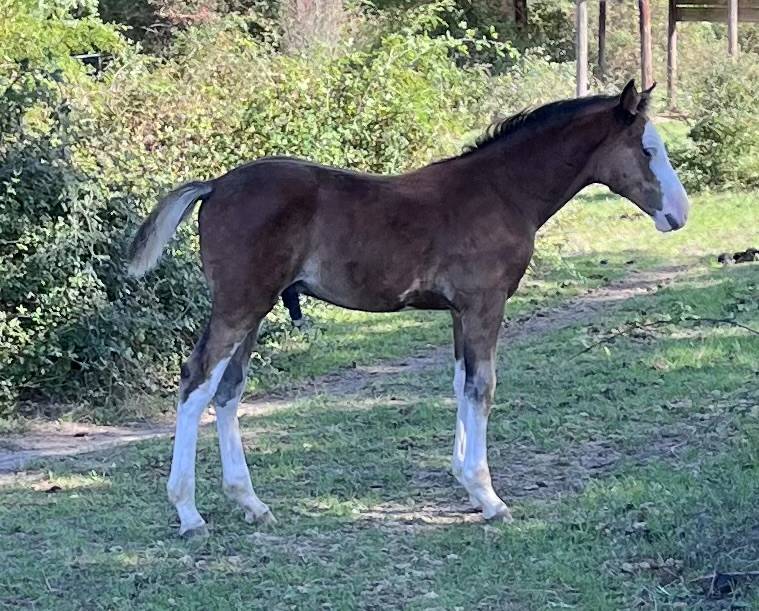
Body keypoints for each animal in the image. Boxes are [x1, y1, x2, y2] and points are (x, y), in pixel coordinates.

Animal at [127, 80, 689, 536]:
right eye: (648, 149)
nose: (679, 215)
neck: (502, 192)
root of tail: (215, 185)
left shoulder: (460, 312)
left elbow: (462, 384)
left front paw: (468, 485)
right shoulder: (484, 304)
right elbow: (483, 388)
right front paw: (490, 497)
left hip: (254, 309)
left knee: (228, 390)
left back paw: (252, 503)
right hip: (238, 305)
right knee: (196, 383)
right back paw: (189, 514)